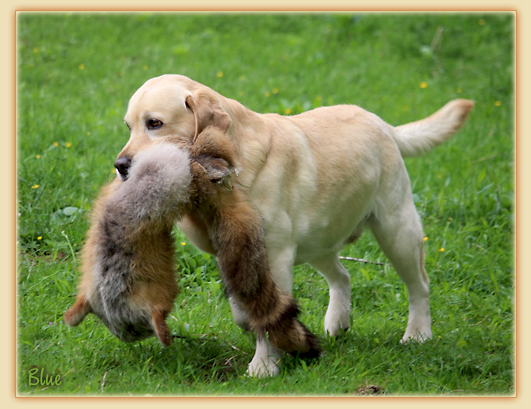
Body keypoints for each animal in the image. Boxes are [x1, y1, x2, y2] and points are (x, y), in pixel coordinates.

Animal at [114, 74, 472, 376]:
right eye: (128, 126)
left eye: (155, 123)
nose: (120, 165)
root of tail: (382, 123)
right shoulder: (233, 254)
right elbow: (243, 308)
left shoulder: (275, 256)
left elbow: (268, 315)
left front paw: (264, 366)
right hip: (319, 239)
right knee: (342, 276)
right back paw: (338, 321)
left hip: (397, 230)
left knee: (419, 285)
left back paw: (417, 334)